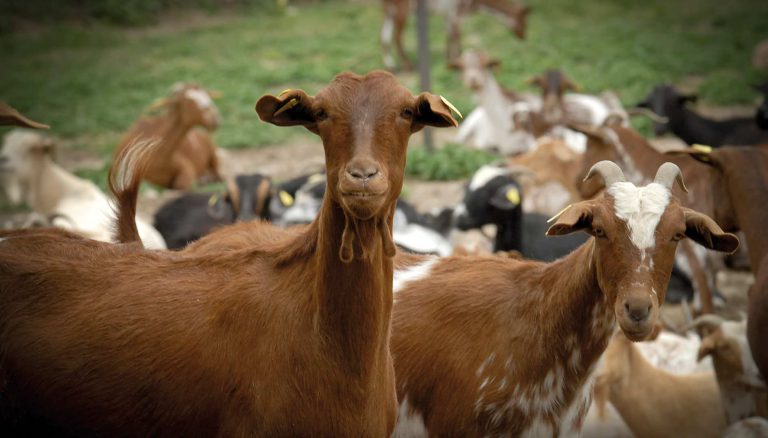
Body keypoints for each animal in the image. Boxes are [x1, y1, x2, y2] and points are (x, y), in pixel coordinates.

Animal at [380, 0, 528, 69]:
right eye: (523, 21)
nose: (523, 36)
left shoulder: (449, 15)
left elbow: (449, 36)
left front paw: (449, 59)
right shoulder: (456, 13)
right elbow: (456, 36)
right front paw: (458, 59)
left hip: (389, 10)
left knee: (384, 35)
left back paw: (391, 65)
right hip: (402, 9)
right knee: (397, 37)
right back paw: (407, 66)